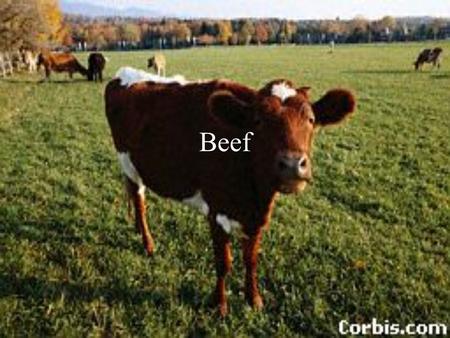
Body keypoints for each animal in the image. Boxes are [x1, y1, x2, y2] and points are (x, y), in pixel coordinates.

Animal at [103, 67, 356, 316]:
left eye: (311, 120)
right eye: (257, 121)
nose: (293, 164)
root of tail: (123, 74)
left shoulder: (256, 218)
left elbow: (251, 260)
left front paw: (254, 299)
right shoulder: (217, 212)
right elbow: (223, 262)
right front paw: (219, 305)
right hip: (127, 162)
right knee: (139, 201)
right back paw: (148, 243)